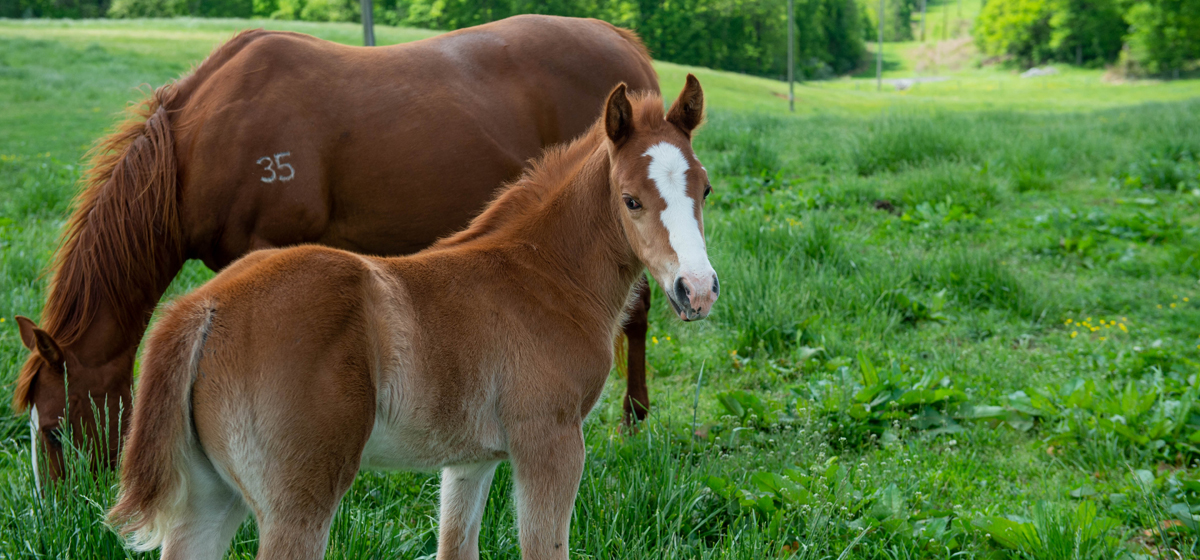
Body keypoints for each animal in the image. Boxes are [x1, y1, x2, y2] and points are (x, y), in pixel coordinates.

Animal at [9, 14, 662, 482]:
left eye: (53, 431)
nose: (64, 515)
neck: (201, 142)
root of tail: (621, 40)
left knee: (635, 318)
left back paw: (632, 425)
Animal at [108, 75, 715, 560]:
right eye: (630, 199)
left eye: (705, 189)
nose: (697, 290)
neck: (543, 275)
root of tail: (203, 306)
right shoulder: (550, 441)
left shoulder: (469, 461)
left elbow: (456, 547)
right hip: (297, 502)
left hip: (210, 498)